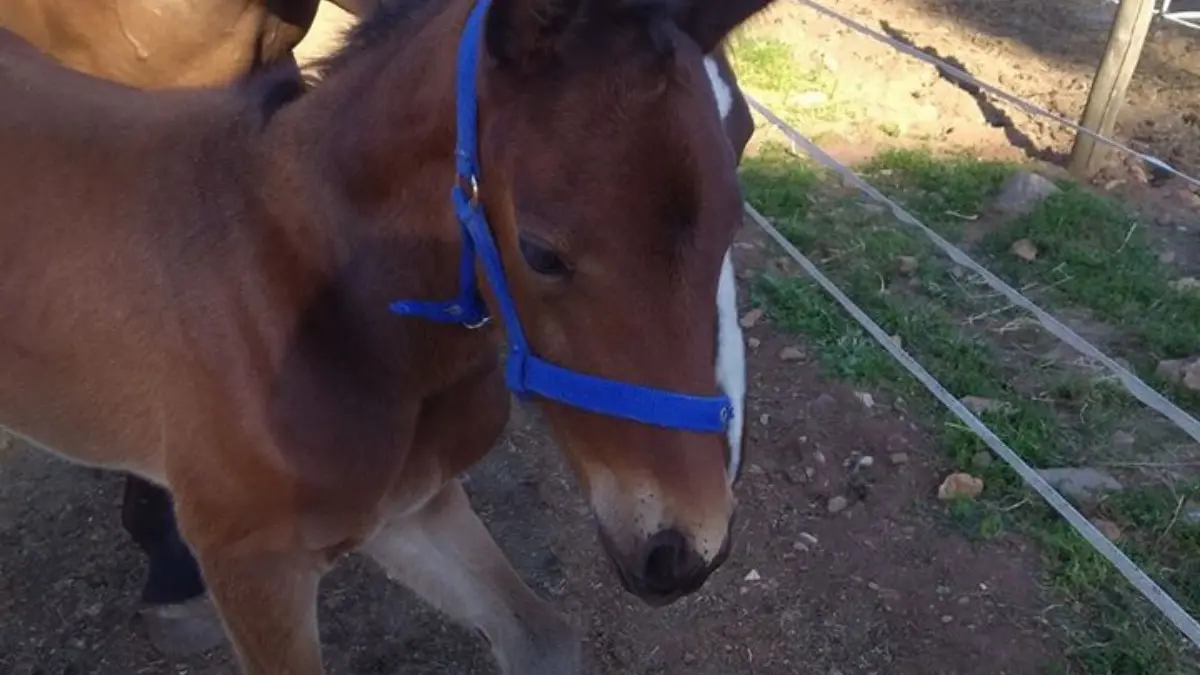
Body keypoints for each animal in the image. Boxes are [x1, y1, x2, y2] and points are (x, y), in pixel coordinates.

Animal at [0, 0, 768, 667]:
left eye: (741, 172)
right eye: (541, 251)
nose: (686, 550)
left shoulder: (410, 506)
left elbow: (541, 637)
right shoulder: (253, 565)